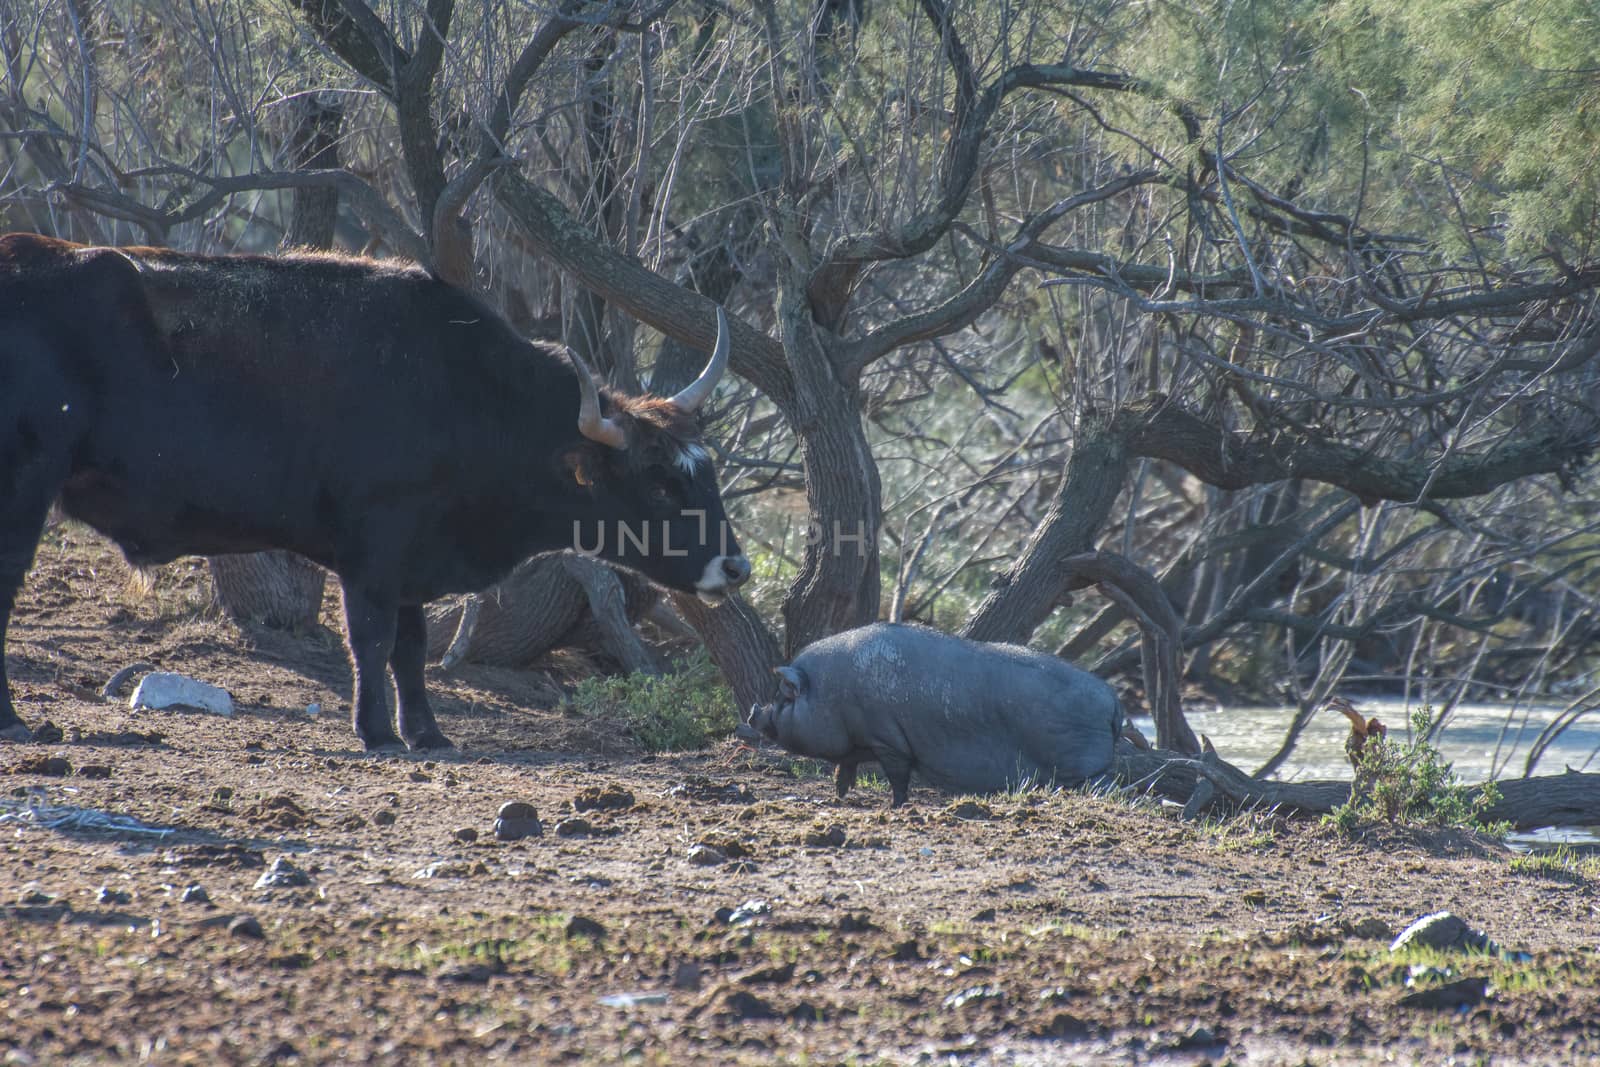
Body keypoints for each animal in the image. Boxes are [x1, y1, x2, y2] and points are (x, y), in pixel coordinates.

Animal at [0, 233, 748, 751]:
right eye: (659, 483)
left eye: (706, 470)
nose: (735, 565)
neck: (459, 388)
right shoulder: (372, 552)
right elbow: (373, 640)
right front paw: (377, 731)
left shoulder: (415, 556)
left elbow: (412, 648)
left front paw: (427, 732)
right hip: (23, 488)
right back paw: (14, 721)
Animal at [742, 620, 1120, 806]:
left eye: (783, 697)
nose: (751, 716)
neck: (831, 695)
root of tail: (1113, 702)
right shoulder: (857, 744)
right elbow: (843, 772)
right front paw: (838, 798)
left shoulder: (888, 741)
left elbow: (897, 778)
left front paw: (895, 806)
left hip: (1086, 766)